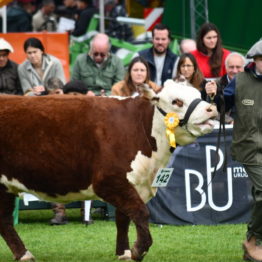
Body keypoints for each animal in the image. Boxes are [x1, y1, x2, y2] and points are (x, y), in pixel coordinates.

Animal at [0, 80, 217, 260]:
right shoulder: (110, 181)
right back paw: (24, 255)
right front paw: (138, 250)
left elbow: (123, 219)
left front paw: (124, 252)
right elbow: (141, 212)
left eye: (198, 93)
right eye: (176, 101)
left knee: (5, 221)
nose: (211, 108)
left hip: (6, 188)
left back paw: (23, 254)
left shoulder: (133, 184)